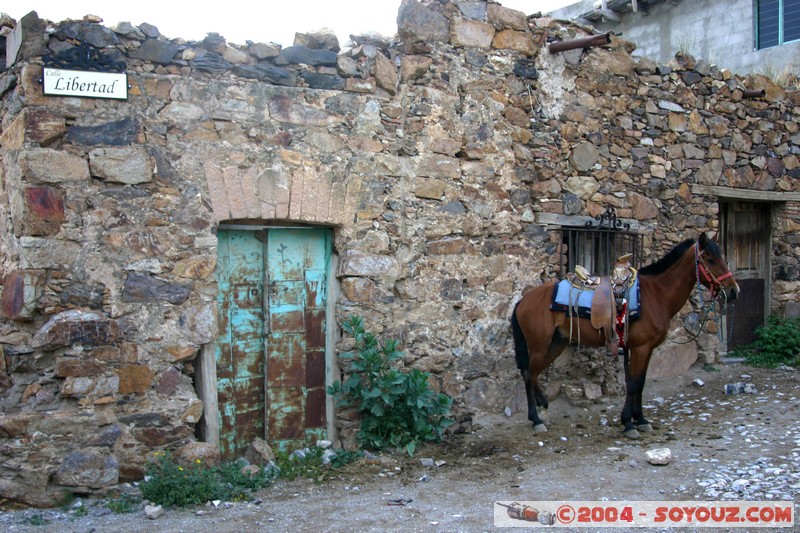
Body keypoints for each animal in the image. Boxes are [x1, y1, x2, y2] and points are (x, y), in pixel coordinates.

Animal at [510, 232, 740, 436]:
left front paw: (640, 420)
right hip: (540, 345)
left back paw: (543, 408)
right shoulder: (640, 348)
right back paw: (536, 419)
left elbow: (640, 383)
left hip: (557, 343)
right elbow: (634, 383)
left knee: (532, 373)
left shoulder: (647, 349)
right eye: (710, 260)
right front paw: (629, 423)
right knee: (529, 373)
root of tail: (523, 301)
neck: (656, 294)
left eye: (723, 258)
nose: (733, 291)